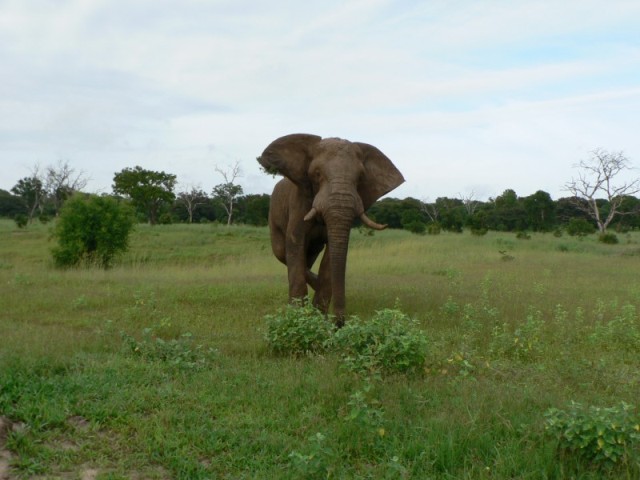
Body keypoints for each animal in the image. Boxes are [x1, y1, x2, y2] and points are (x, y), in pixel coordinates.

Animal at [256, 133, 402, 326]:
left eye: (360, 177)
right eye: (317, 174)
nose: (339, 324)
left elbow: (331, 257)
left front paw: (318, 317)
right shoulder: (299, 201)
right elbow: (295, 244)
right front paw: (298, 317)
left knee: (308, 259)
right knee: (283, 253)